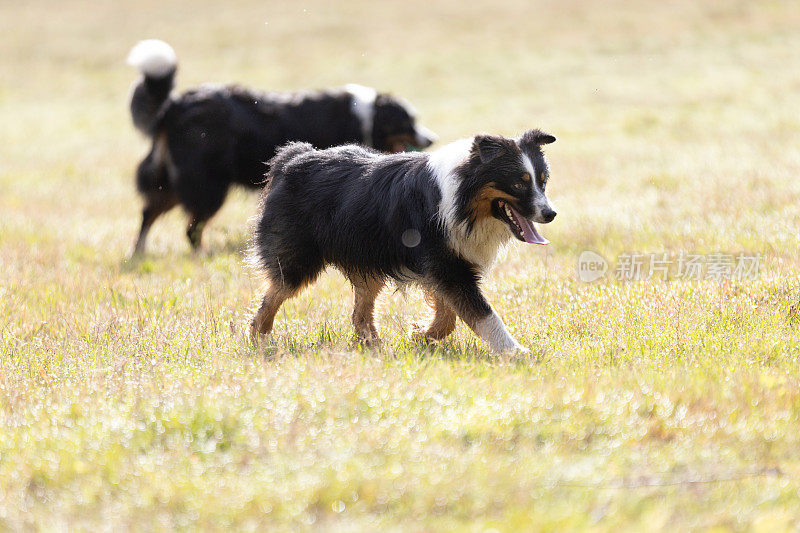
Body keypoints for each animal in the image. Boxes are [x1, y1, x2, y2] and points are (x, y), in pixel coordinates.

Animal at [126, 39, 438, 254]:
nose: (431, 138)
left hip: (175, 180)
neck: (368, 117)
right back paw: (200, 254)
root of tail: (174, 105)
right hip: (207, 183)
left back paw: (138, 252)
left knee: (147, 213)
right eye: (409, 121)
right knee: (191, 228)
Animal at [250, 129, 556, 354]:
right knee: (274, 294)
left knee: (360, 311)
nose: (550, 214)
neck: (463, 199)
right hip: (298, 255)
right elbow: (481, 311)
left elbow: (449, 314)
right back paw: (259, 340)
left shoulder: (448, 261)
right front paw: (514, 352)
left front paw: (422, 335)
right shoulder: (443, 260)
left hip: (369, 254)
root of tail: (293, 158)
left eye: (542, 182)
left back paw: (374, 346)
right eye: (518, 183)